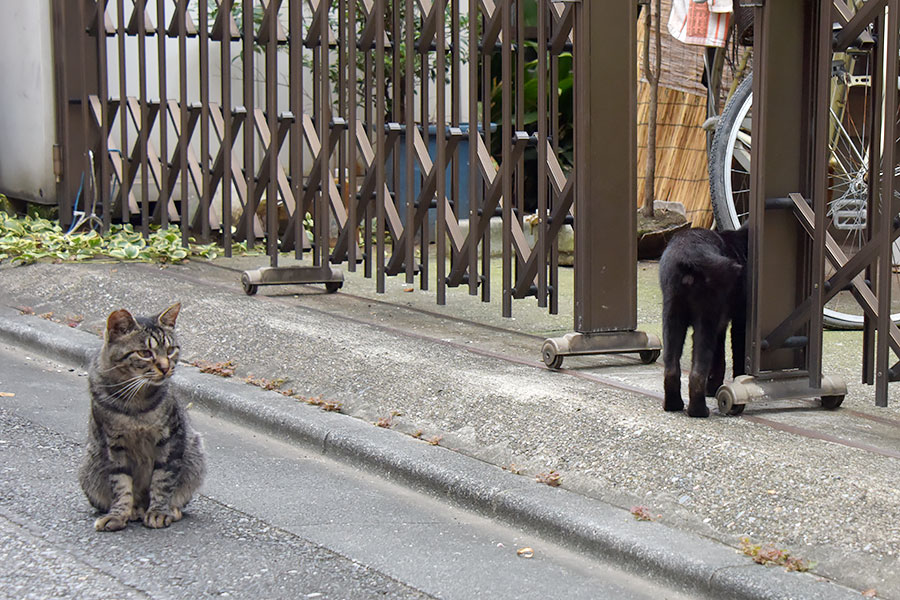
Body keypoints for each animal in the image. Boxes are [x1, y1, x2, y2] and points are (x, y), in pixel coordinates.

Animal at [78, 304, 206, 528]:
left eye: (171, 350)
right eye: (145, 353)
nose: (165, 367)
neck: (135, 402)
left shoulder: (170, 439)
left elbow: (163, 480)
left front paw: (159, 511)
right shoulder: (113, 445)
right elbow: (120, 484)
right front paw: (119, 514)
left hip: (194, 452)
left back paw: (169, 509)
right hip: (89, 466)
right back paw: (135, 510)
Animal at [656, 227, 748, 420]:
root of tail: (689, 258)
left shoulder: (721, 324)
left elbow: (719, 356)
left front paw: (713, 388)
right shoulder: (739, 321)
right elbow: (736, 357)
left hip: (672, 315)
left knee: (671, 368)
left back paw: (673, 405)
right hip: (705, 317)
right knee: (697, 372)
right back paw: (698, 410)